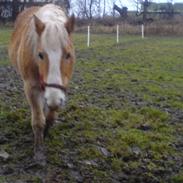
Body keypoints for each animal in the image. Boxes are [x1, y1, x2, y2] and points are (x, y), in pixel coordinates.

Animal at [8, 3, 75, 162]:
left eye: (68, 55)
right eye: (40, 55)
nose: (53, 98)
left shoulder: (60, 90)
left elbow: (50, 115)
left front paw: (46, 131)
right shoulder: (31, 87)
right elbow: (38, 120)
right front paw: (38, 152)